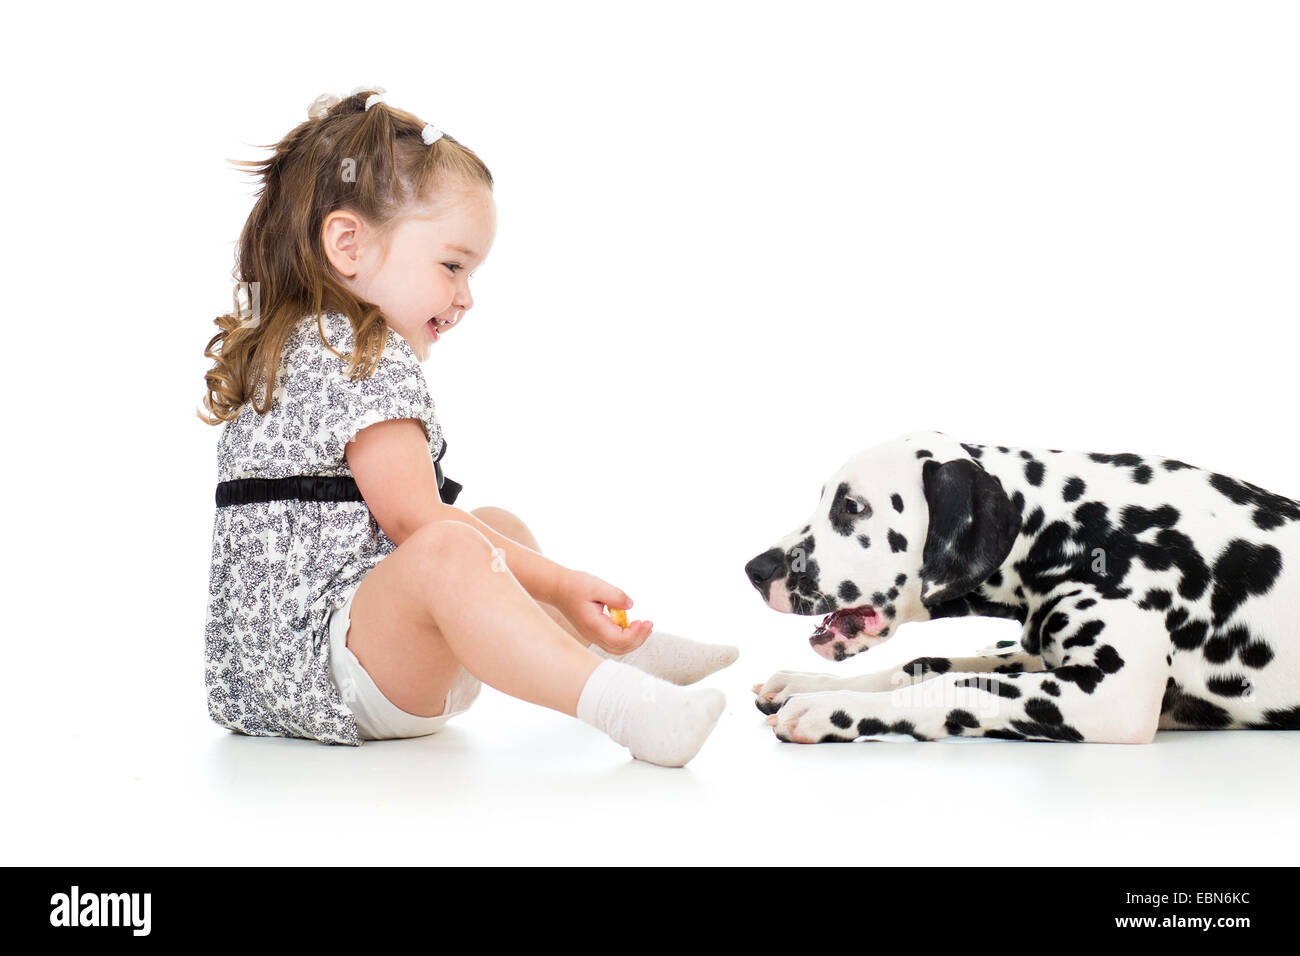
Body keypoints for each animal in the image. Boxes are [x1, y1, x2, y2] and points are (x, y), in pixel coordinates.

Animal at [743, 429, 1300, 749]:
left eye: (852, 506)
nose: (754, 569)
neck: (1069, 528)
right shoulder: (1039, 653)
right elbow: (924, 665)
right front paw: (808, 684)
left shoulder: (1112, 693)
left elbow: (955, 686)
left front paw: (831, 707)